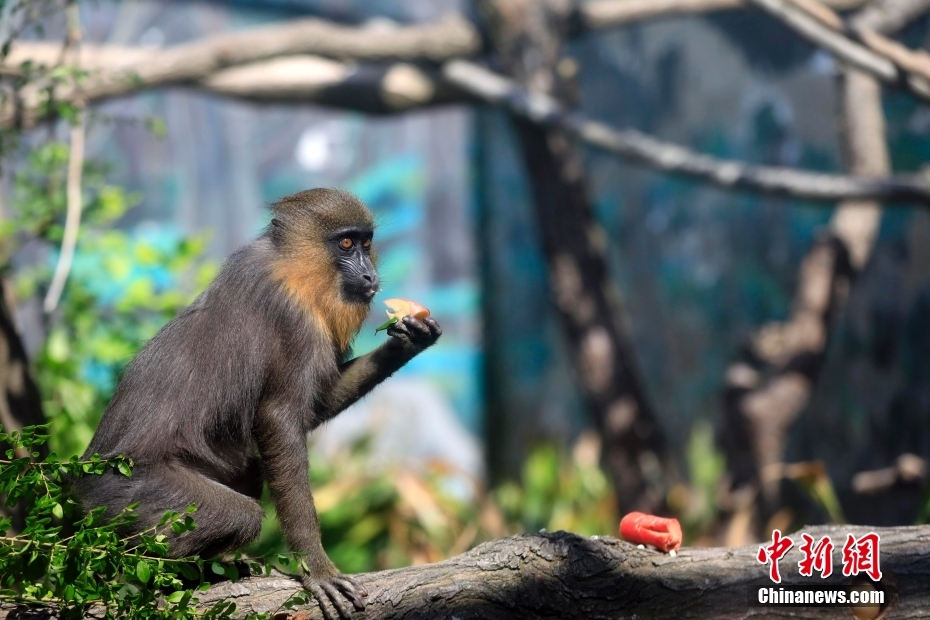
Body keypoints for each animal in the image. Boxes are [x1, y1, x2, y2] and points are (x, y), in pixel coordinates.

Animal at [70, 189, 440, 620]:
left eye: (367, 243)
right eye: (346, 244)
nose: (369, 276)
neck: (293, 267)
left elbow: (314, 407)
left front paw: (411, 338)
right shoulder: (293, 318)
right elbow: (280, 417)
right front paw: (317, 569)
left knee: (248, 469)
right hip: (130, 495)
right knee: (241, 515)